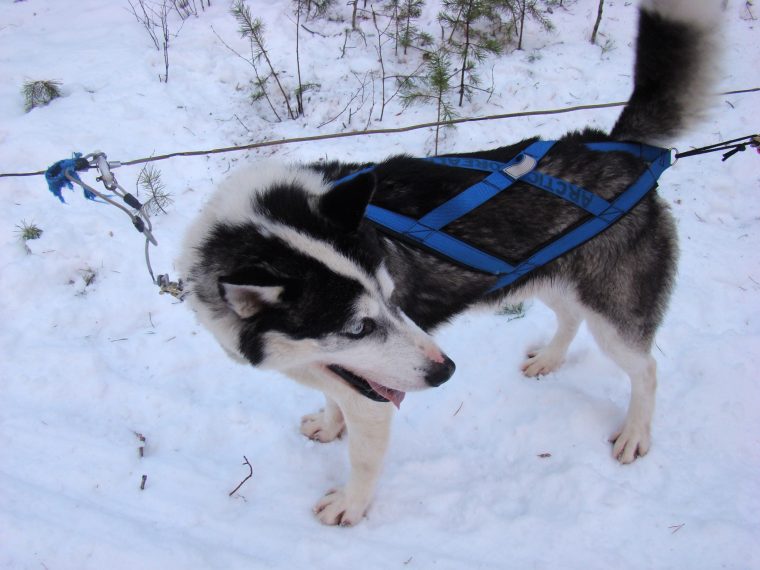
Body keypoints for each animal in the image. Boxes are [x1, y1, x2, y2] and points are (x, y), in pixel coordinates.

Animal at [181, 0, 720, 524]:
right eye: (358, 328)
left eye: (394, 296)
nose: (446, 373)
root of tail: (618, 148)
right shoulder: (347, 371)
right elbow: (336, 395)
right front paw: (330, 425)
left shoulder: (373, 397)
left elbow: (363, 455)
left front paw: (351, 505)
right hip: (547, 276)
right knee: (570, 317)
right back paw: (549, 358)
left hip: (614, 317)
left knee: (645, 369)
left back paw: (635, 432)